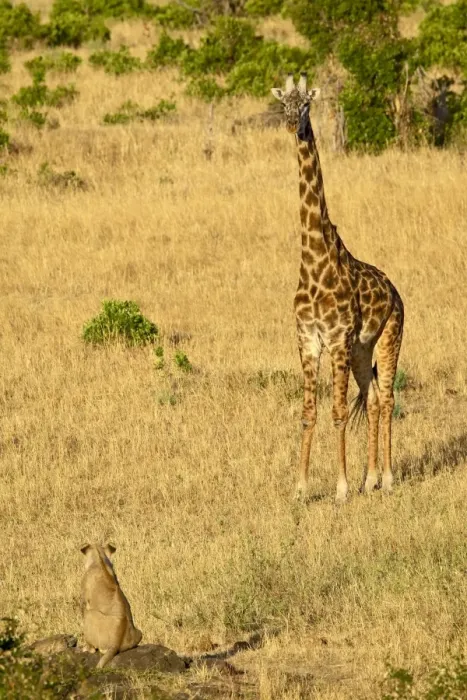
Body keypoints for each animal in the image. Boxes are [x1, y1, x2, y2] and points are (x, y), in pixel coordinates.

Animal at [271, 73, 404, 502]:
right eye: (283, 104)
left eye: (307, 104)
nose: (293, 125)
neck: (315, 264)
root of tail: (396, 292)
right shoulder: (308, 340)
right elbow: (309, 412)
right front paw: (300, 488)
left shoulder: (337, 339)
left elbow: (339, 412)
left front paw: (341, 488)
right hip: (363, 351)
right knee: (374, 398)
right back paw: (371, 479)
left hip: (389, 337)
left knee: (388, 397)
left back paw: (387, 478)